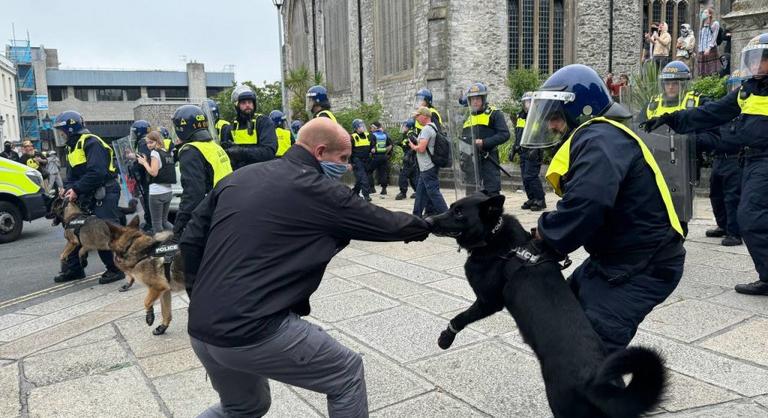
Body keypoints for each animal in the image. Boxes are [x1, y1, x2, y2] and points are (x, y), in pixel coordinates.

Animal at [426, 193, 664, 418]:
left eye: (459, 213)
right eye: (450, 207)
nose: (428, 221)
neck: (496, 236)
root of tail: (599, 385)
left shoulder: (488, 302)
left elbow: (460, 317)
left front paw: (445, 338)